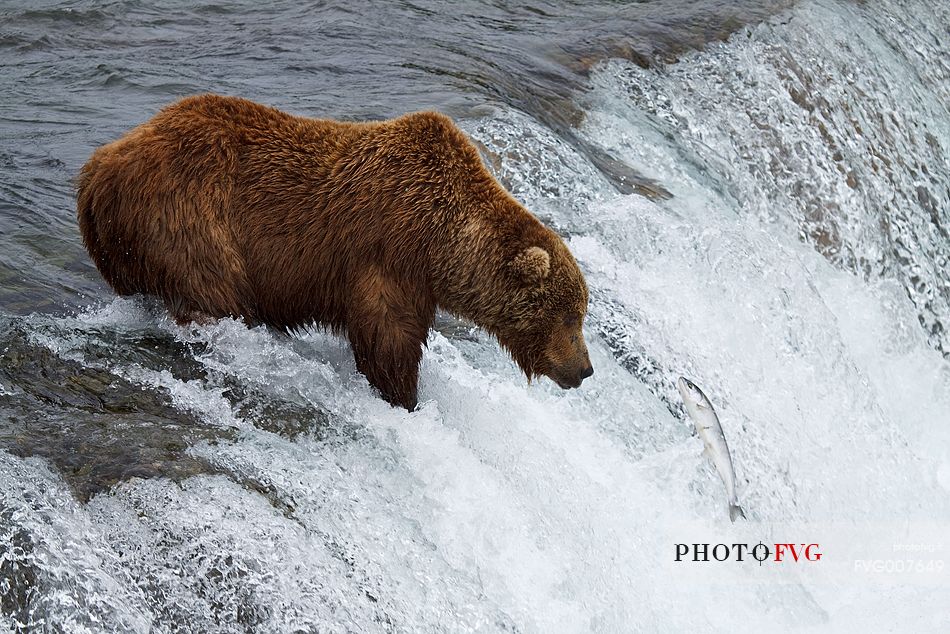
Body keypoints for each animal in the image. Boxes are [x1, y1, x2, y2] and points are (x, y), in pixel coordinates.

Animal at [76, 95, 596, 408]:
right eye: (570, 317)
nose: (586, 369)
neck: (439, 242)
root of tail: (99, 167)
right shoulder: (388, 254)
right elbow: (388, 338)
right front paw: (404, 396)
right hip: (188, 219)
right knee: (214, 293)